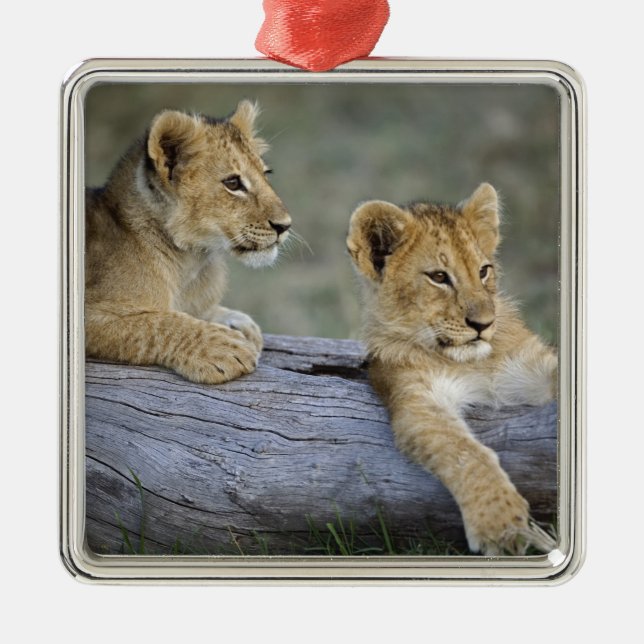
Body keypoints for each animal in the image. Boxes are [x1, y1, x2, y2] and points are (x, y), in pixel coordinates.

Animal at [85, 101, 291, 384]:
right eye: (233, 183)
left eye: (265, 173)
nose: (285, 225)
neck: (192, 262)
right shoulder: (89, 313)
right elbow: (155, 324)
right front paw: (222, 347)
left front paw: (237, 322)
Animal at [347, 183, 556, 555]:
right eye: (439, 277)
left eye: (484, 271)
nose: (483, 324)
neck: (474, 361)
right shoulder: (416, 397)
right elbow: (464, 452)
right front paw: (500, 525)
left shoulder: (533, 364)